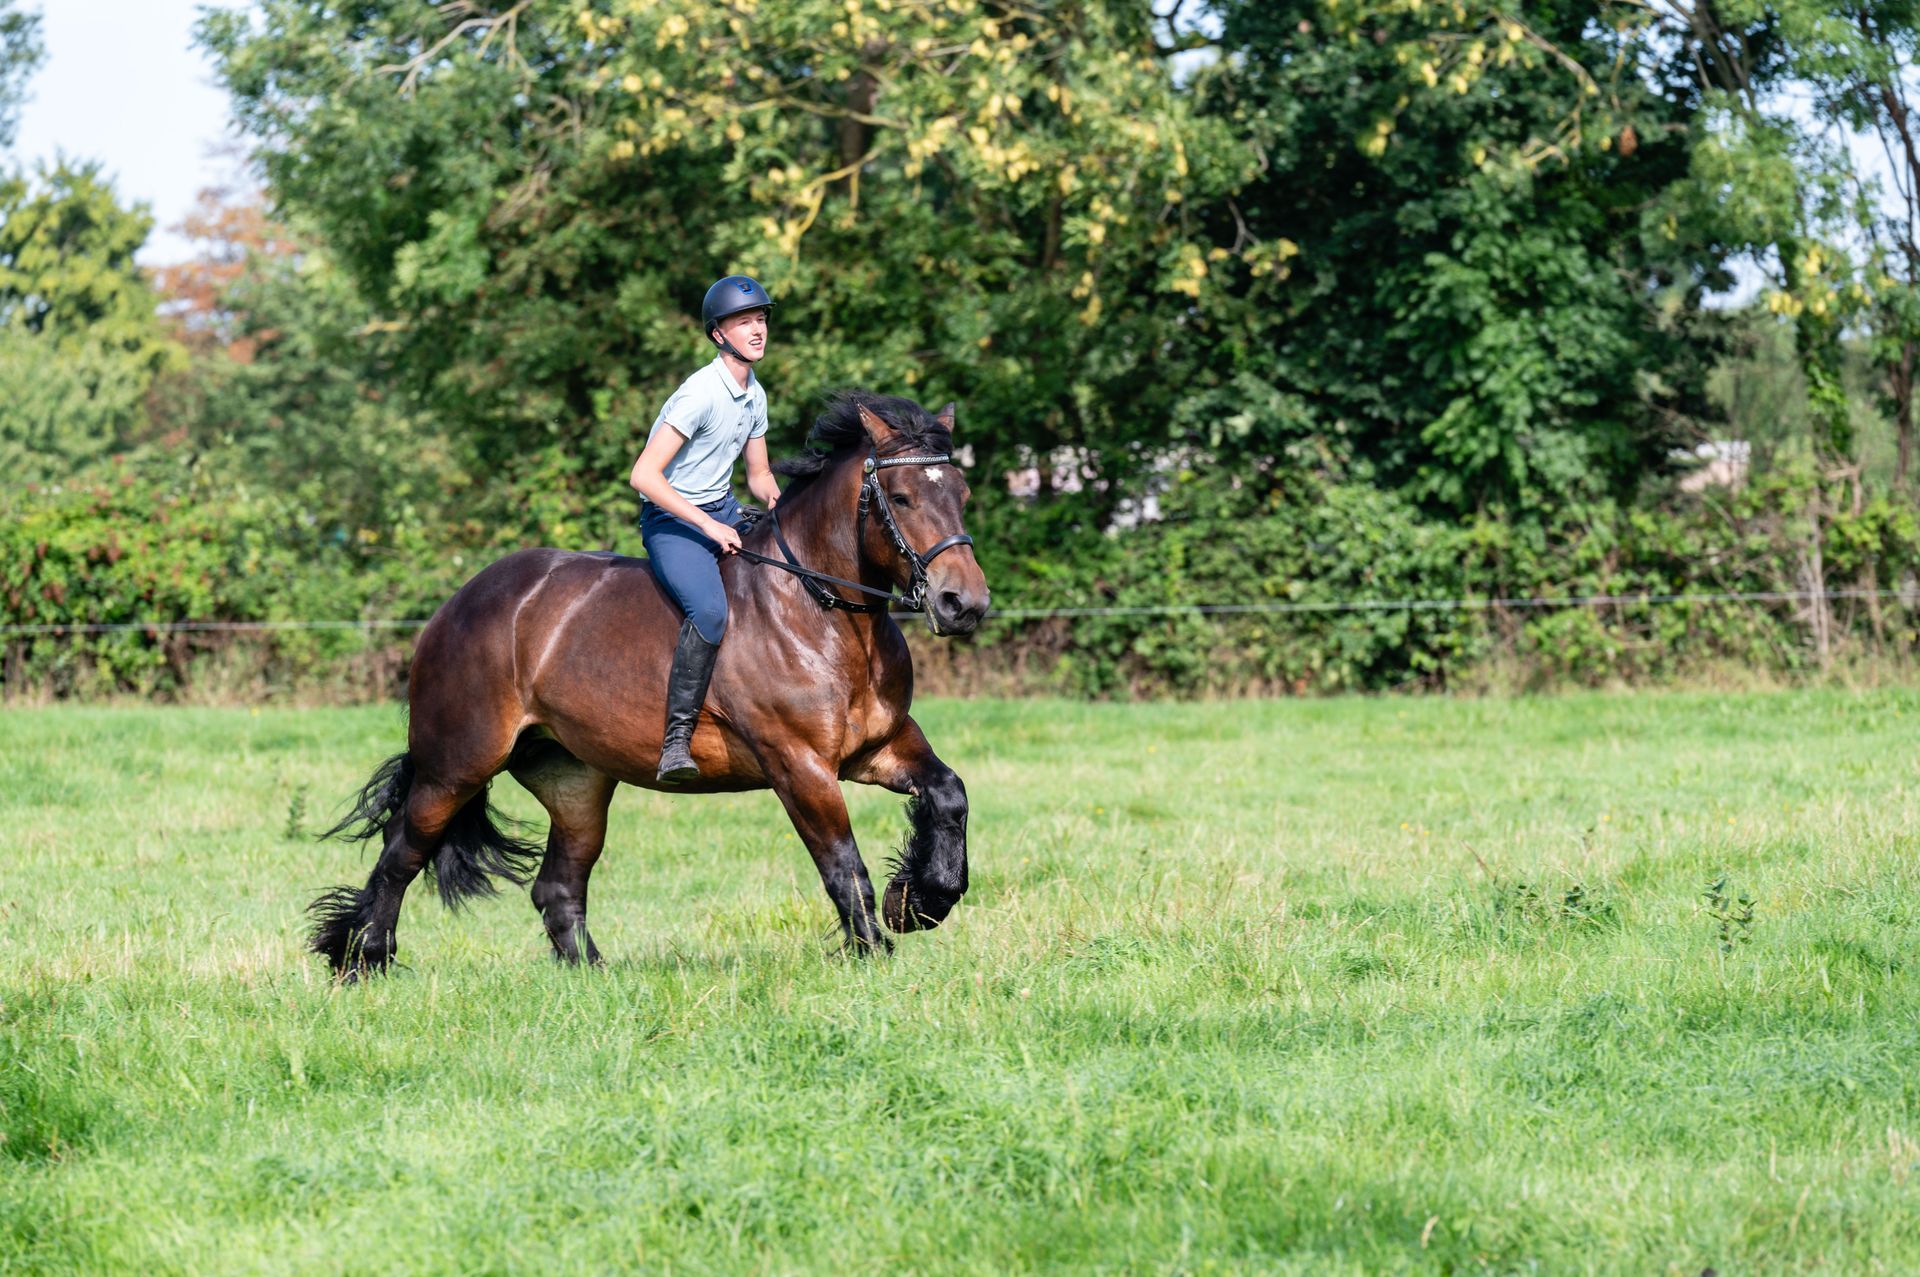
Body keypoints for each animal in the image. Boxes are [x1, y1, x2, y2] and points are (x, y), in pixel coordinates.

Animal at [309, 393, 991, 978]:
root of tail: (455, 606)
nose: (964, 604)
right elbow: (843, 866)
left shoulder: (880, 747)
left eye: (961, 492)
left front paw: (922, 900)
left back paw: (592, 976)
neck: (821, 612)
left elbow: (949, 795)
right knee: (402, 855)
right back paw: (364, 961)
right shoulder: (799, 765)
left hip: (575, 782)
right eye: (900, 497)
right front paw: (875, 950)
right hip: (456, 767)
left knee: (558, 884)